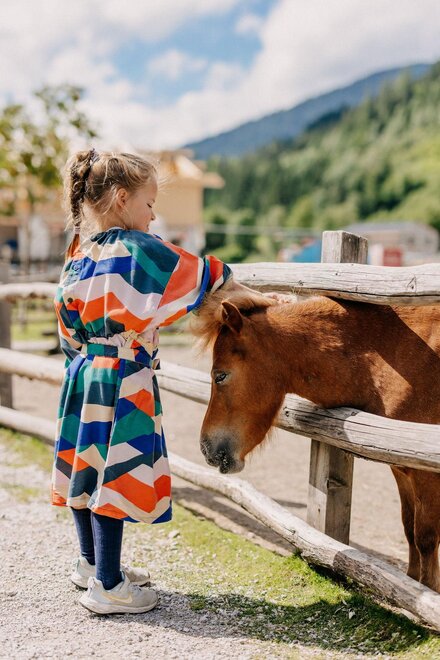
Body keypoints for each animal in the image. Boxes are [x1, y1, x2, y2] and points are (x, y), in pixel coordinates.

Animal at [191, 285, 440, 591]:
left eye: (221, 376)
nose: (206, 447)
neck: (391, 355)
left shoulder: (426, 475)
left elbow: (425, 537)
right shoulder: (403, 469)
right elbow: (409, 528)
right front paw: (413, 585)